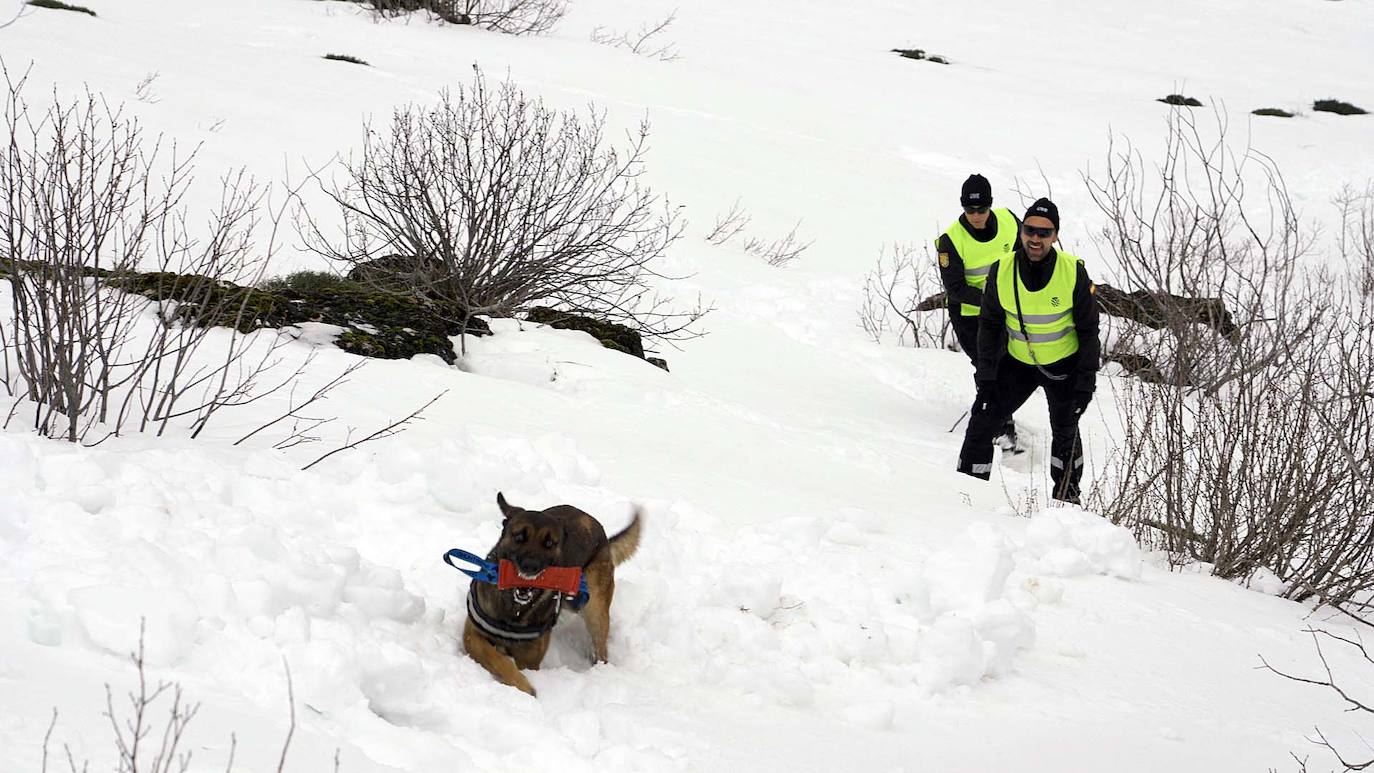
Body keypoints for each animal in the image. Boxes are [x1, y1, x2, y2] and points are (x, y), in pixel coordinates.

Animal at [456, 494, 637, 697]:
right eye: (519, 537)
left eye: (549, 543)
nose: (530, 566)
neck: (515, 609)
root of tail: (600, 531)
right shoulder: (472, 636)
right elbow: (496, 658)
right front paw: (523, 686)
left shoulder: (530, 658)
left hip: (595, 609)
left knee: (600, 646)